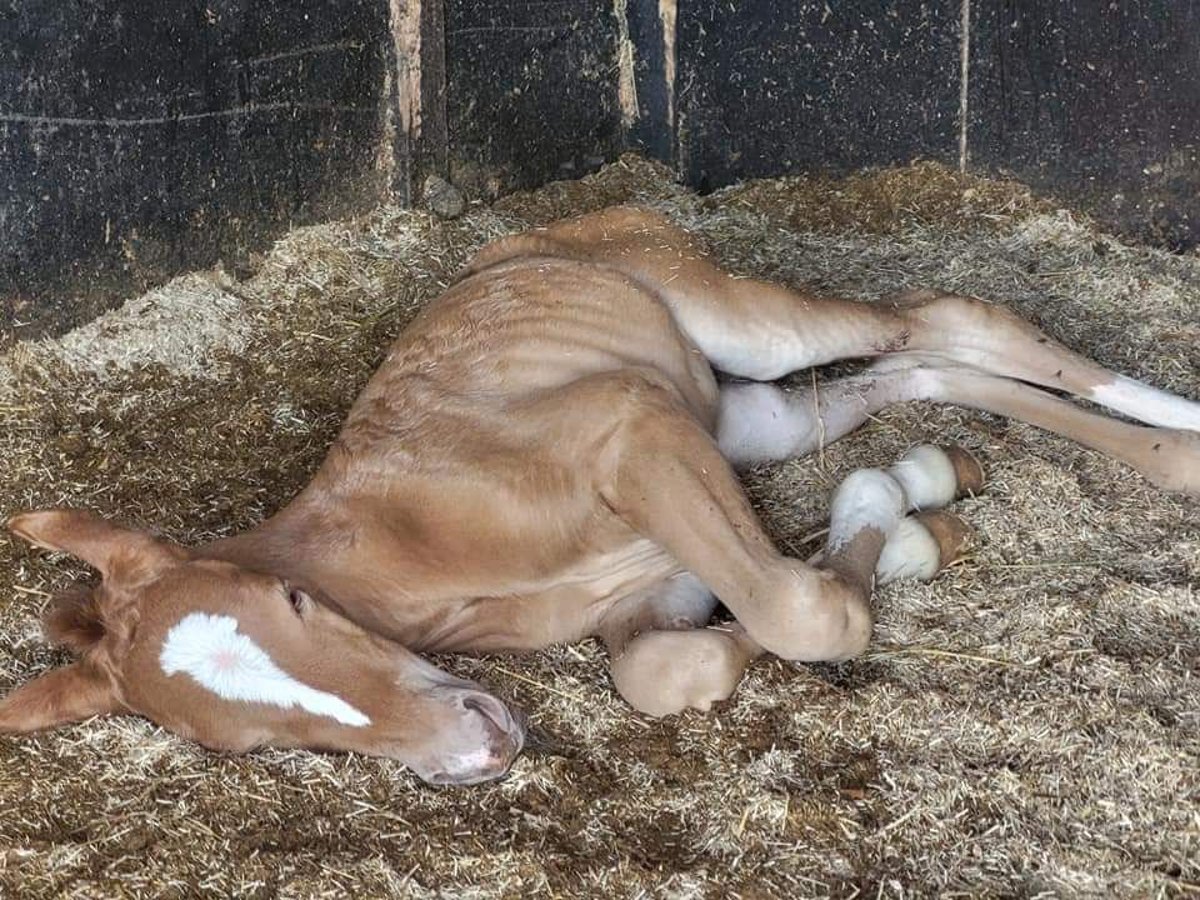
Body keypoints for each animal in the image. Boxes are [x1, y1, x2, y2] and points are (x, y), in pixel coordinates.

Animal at [2, 207, 1200, 787]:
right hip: (739, 420)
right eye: (244, 745)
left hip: (727, 328)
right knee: (911, 372)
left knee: (944, 316)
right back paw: (947, 475)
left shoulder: (630, 429)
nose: (482, 743)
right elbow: (675, 670)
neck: (415, 553)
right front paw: (902, 517)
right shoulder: (657, 586)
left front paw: (883, 533)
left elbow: (799, 612)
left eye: (293, 604)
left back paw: (1176, 429)